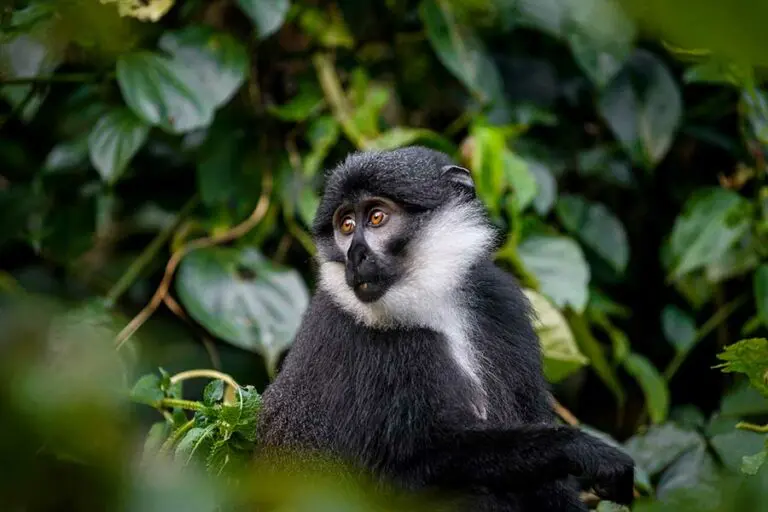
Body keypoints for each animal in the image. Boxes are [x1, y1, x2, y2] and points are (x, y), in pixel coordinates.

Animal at [256, 146, 635, 511]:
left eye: (376, 217)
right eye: (346, 225)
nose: (355, 255)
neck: (432, 306)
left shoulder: (500, 303)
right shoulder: (377, 344)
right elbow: (407, 471)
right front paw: (578, 448)